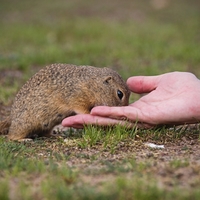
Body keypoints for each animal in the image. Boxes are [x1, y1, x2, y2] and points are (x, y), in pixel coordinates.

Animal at [0, 64, 130, 141]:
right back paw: (23, 139)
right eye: (120, 94)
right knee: (12, 135)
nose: (126, 107)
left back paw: (56, 135)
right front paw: (89, 113)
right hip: (25, 123)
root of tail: (12, 116)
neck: (93, 83)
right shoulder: (78, 96)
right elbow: (81, 108)